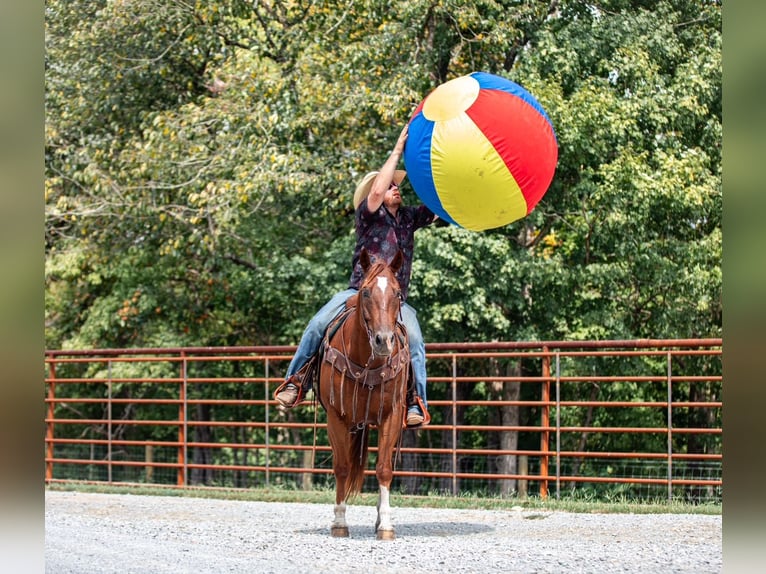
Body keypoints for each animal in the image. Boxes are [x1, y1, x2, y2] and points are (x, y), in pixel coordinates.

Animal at [317, 247, 410, 540]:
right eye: (366, 292)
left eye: (397, 293)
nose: (383, 341)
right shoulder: (336, 417)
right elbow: (342, 467)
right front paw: (339, 522)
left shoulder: (392, 416)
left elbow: (383, 469)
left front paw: (386, 525)